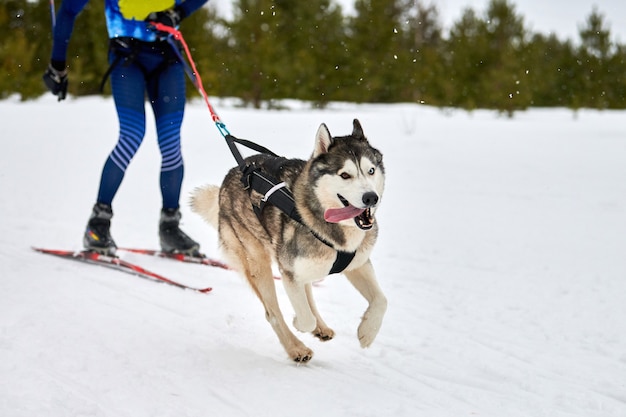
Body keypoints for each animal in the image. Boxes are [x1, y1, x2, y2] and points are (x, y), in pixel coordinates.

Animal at [190, 119, 386, 360]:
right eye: (344, 175)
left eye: (371, 170)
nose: (371, 198)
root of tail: (234, 173)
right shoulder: (288, 271)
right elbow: (304, 318)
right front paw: (300, 324)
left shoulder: (358, 263)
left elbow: (382, 300)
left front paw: (367, 332)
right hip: (258, 265)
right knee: (272, 313)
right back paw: (296, 348)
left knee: (306, 292)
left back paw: (320, 328)